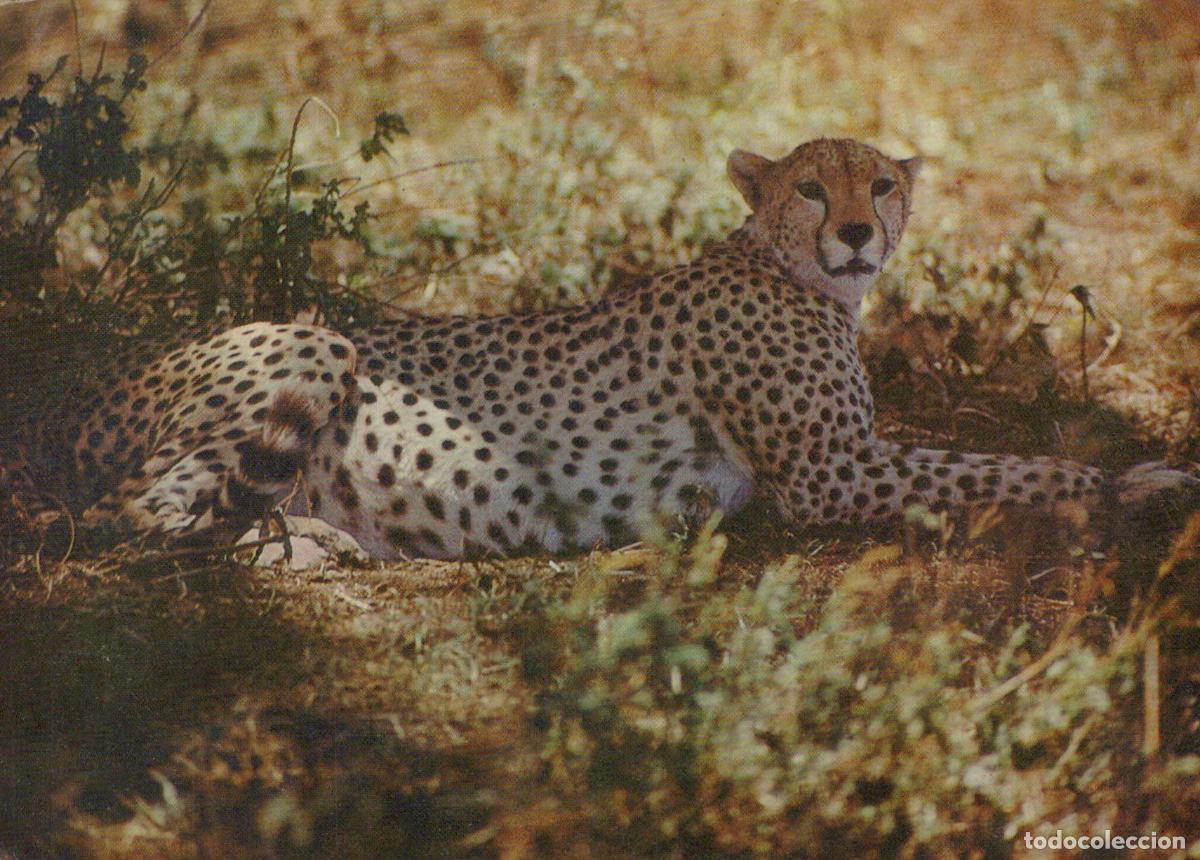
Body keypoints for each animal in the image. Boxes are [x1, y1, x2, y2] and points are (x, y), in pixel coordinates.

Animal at [4, 137, 1198, 560]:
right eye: (813, 187)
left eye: (881, 183)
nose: (860, 230)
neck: (791, 273)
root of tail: (68, 393)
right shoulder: (828, 475)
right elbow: (1007, 467)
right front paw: (1133, 484)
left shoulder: (843, 460)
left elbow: (985, 461)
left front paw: (1144, 475)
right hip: (313, 343)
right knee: (126, 518)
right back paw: (296, 545)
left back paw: (317, 541)